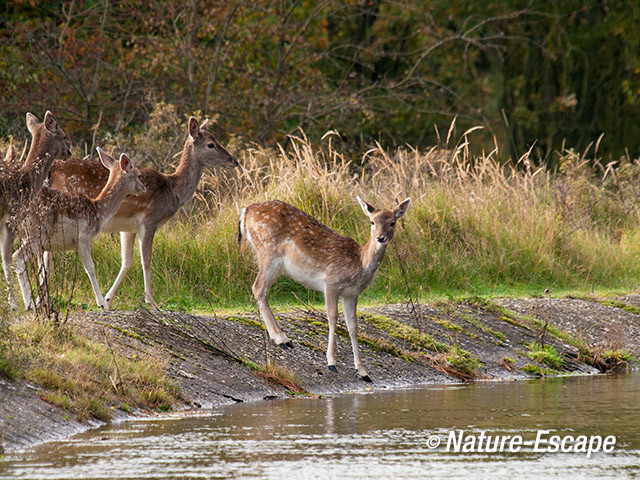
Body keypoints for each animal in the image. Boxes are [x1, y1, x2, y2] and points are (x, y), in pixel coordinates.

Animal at [0, 111, 71, 308]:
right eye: (64, 136)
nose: (69, 152)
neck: (26, 183)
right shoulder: (12, 220)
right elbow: (9, 260)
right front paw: (21, 303)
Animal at [13, 147, 146, 312]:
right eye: (139, 175)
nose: (145, 189)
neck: (98, 212)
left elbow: (45, 271)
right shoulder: (83, 238)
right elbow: (90, 268)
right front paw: (102, 304)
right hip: (37, 233)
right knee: (17, 257)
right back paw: (27, 304)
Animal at [47, 118, 238, 310]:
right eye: (211, 144)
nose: (234, 161)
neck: (173, 191)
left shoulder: (128, 228)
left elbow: (127, 262)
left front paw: (108, 300)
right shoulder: (149, 221)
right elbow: (146, 260)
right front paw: (152, 302)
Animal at [239, 197, 410, 380]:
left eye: (392, 223)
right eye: (372, 221)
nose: (380, 238)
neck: (359, 264)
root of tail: (246, 210)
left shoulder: (352, 294)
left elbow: (353, 326)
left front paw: (363, 371)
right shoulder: (331, 283)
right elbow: (333, 317)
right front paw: (331, 362)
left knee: (262, 290)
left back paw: (284, 339)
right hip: (268, 252)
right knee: (258, 287)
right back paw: (281, 339)